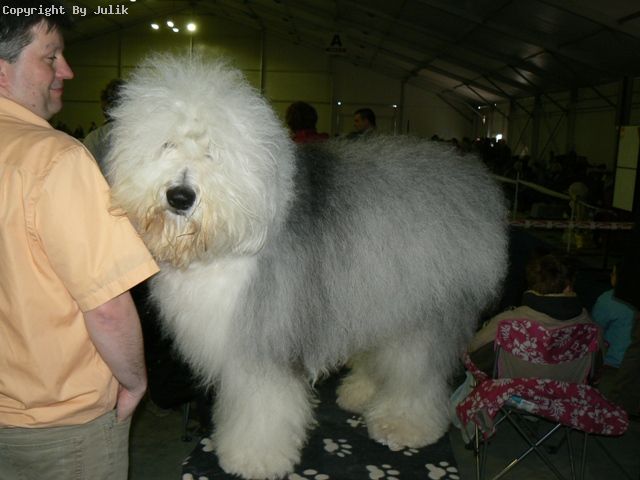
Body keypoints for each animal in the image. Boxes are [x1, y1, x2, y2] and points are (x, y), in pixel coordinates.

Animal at [105, 53, 508, 479]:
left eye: (213, 151)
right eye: (166, 143)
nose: (180, 196)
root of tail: (474, 179)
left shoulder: (265, 336)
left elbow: (262, 405)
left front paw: (253, 458)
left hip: (426, 308)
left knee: (417, 371)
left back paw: (404, 424)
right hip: (378, 293)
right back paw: (359, 393)